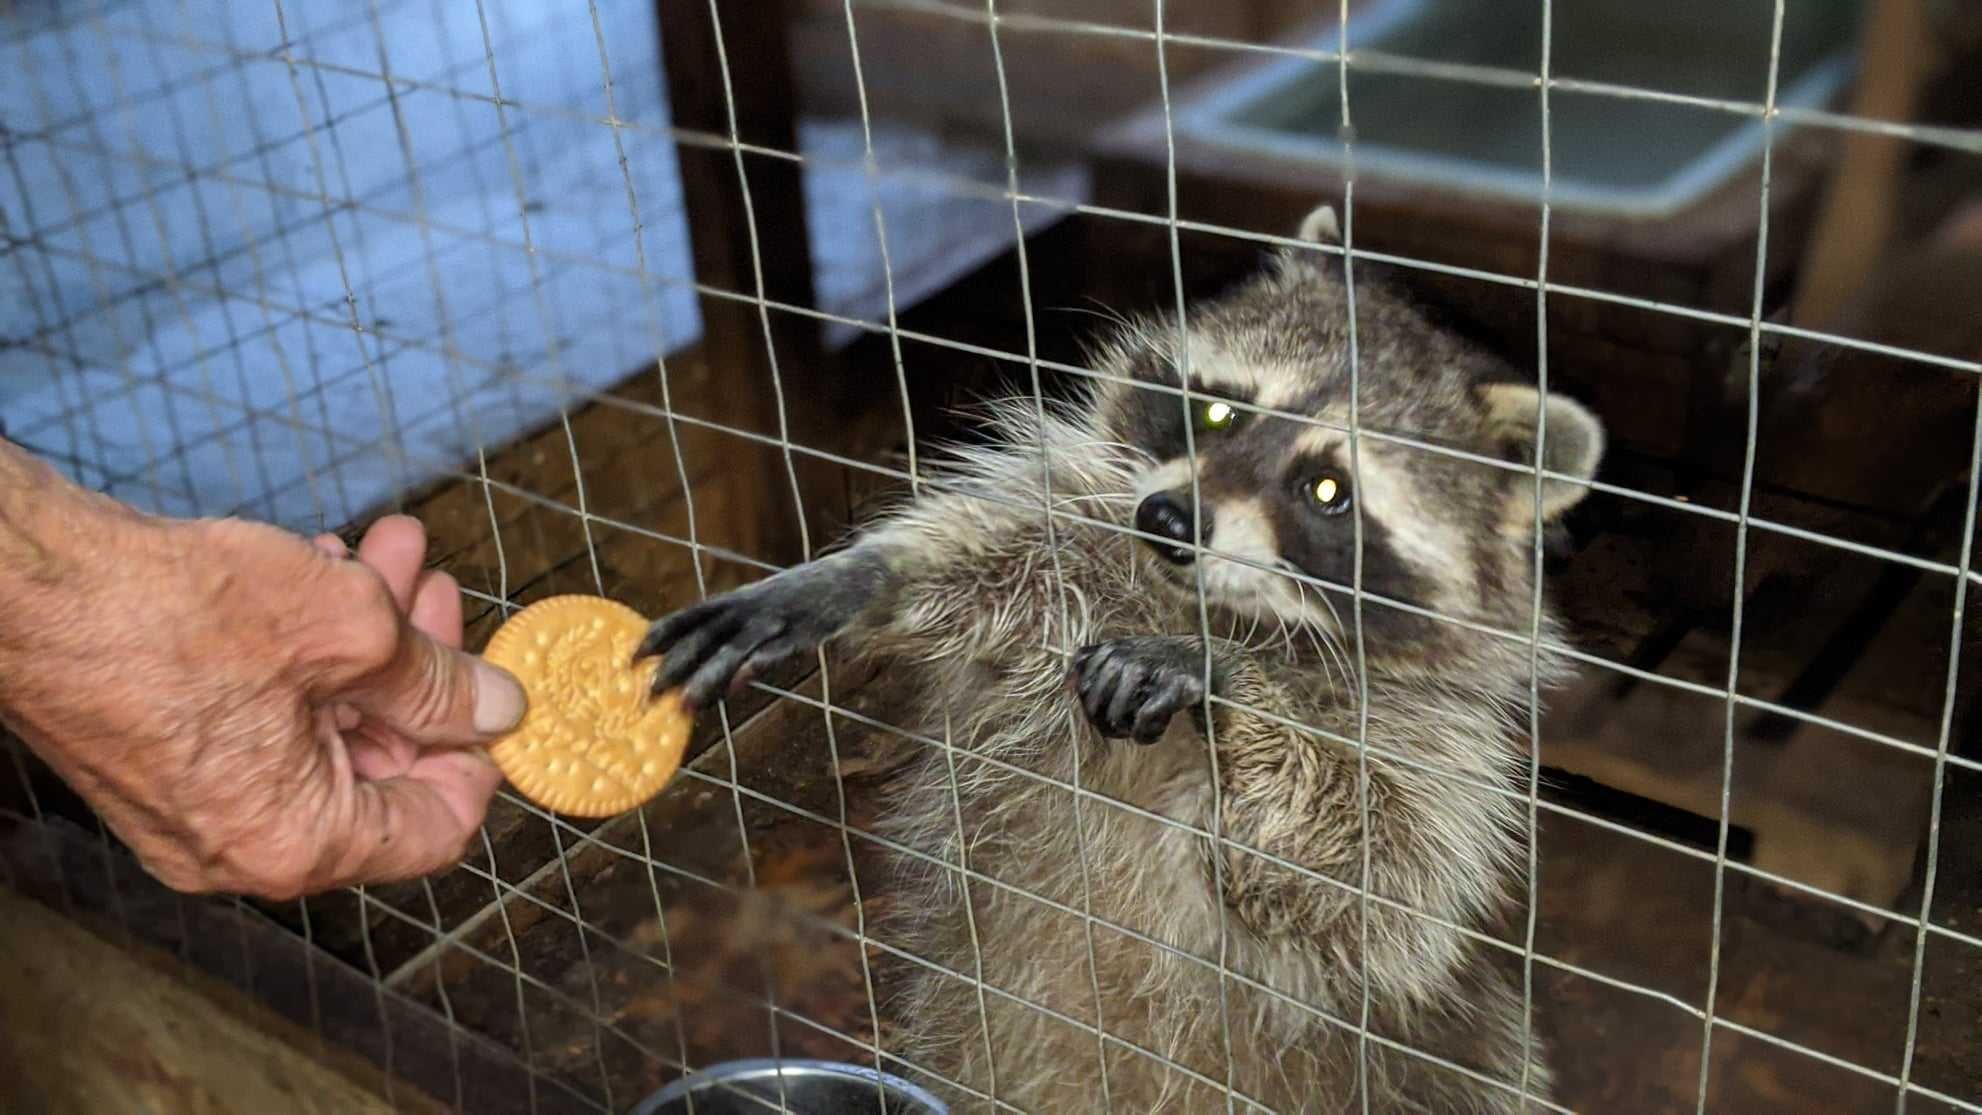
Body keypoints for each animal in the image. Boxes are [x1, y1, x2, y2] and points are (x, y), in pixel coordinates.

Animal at [642, 204, 1601, 1109]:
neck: (1215, 602)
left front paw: (1222, 676)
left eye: (1327, 488)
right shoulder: (1084, 547)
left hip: (1457, 1053)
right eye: (1218, 406)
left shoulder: (1446, 737)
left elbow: (1373, 887)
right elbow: (1002, 557)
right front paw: (867, 575)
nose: (1169, 520)